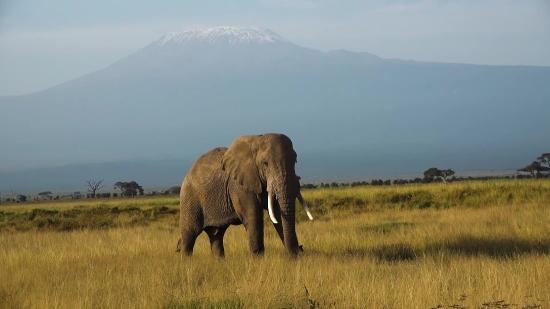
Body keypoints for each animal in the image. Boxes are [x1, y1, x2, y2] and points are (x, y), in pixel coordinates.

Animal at [177, 134, 314, 256]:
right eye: (265, 163)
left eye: (295, 161)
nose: (300, 248)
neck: (257, 140)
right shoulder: (239, 186)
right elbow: (254, 216)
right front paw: (258, 260)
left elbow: (277, 214)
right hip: (189, 198)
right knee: (190, 234)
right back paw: (186, 263)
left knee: (216, 235)